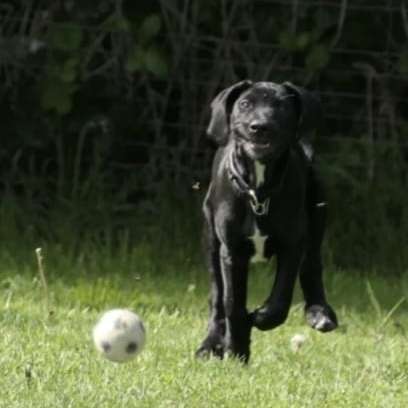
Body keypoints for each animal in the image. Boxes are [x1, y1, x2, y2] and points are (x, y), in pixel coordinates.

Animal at [196, 81, 336, 362]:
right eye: (244, 104)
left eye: (281, 106)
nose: (259, 126)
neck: (258, 193)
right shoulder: (232, 251)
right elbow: (232, 302)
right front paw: (236, 349)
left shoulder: (293, 244)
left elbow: (280, 300)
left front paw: (260, 318)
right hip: (211, 241)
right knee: (216, 296)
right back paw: (211, 343)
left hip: (317, 213)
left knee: (312, 265)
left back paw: (319, 312)